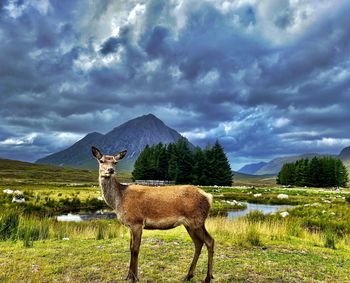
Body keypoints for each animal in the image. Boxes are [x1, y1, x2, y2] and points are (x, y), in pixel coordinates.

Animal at [91, 148, 215, 282]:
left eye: (115, 162)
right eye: (101, 160)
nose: (110, 170)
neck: (119, 201)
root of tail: (208, 197)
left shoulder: (137, 222)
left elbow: (135, 249)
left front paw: (134, 277)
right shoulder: (130, 225)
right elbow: (130, 248)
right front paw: (128, 275)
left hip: (197, 220)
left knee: (209, 241)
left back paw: (208, 277)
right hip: (190, 224)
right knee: (198, 243)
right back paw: (189, 275)